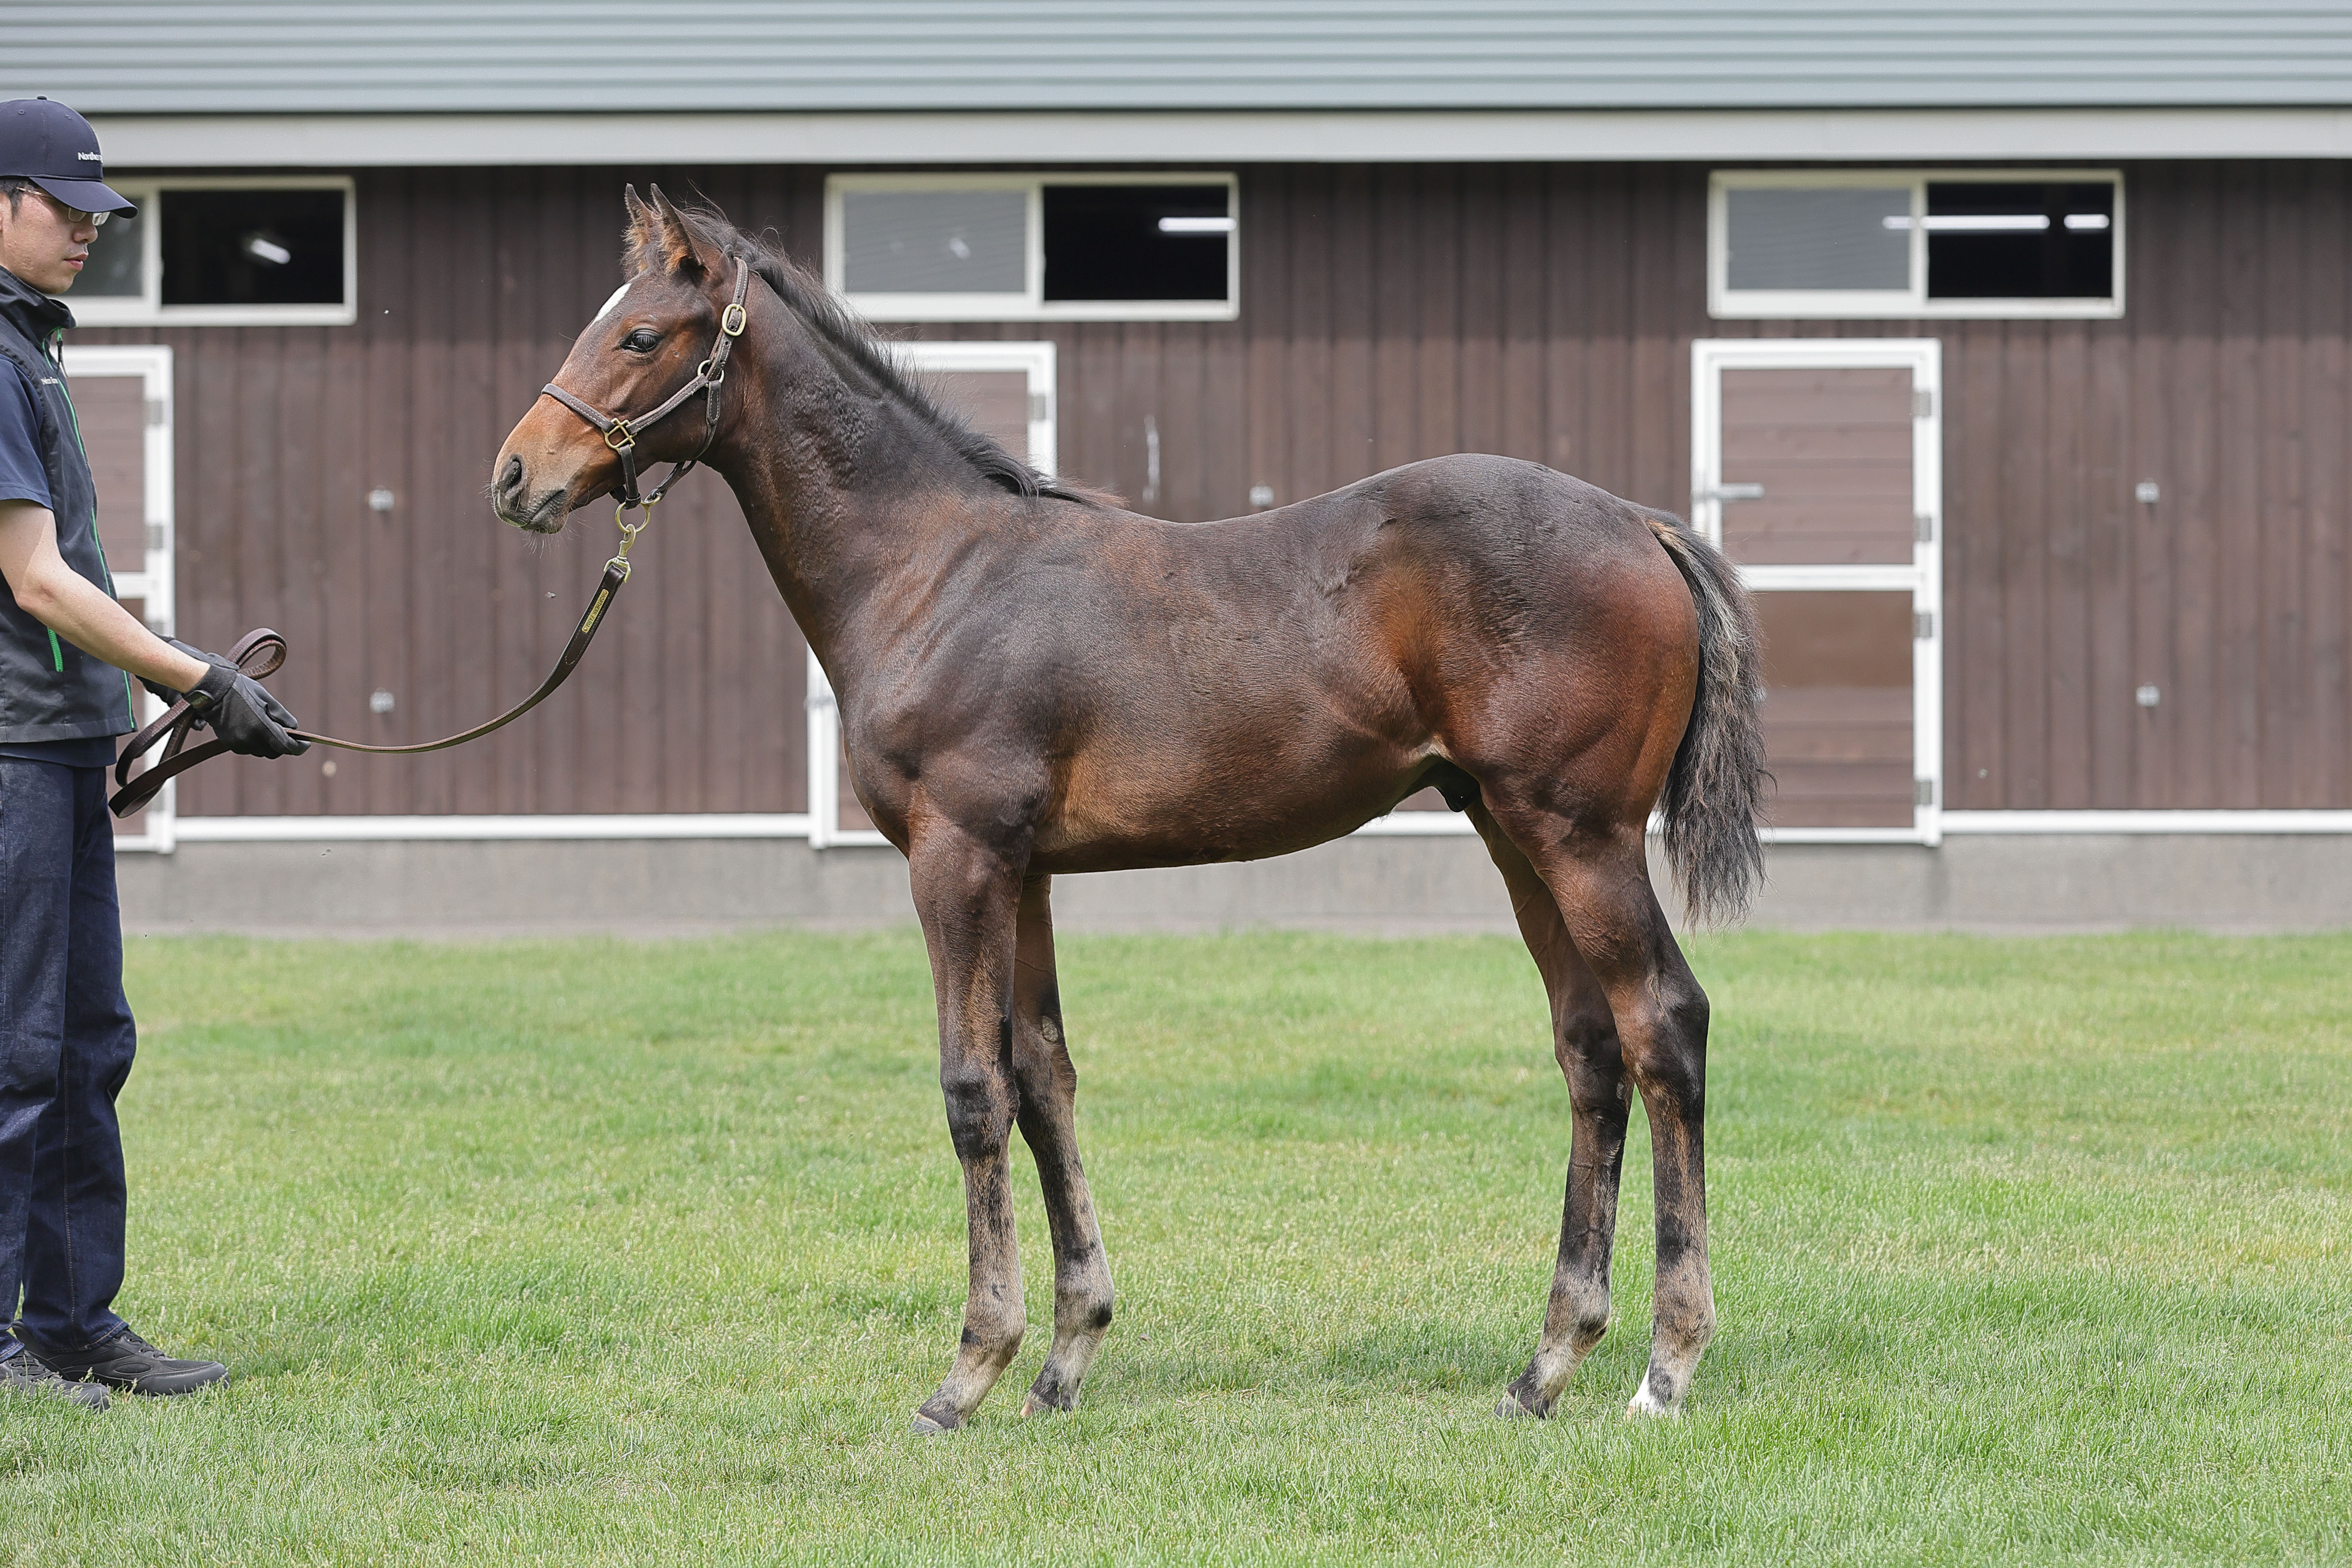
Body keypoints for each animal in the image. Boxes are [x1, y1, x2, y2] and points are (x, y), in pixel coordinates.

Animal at [491, 187, 1768, 1430]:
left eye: (638, 336)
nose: (515, 476)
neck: (932, 573)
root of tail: (1639, 523)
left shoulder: (954, 858)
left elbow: (973, 1089)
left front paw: (970, 1369)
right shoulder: (1025, 872)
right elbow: (1043, 1078)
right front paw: (1064, 1358)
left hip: (1579, 836)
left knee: (1664, 1023)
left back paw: (1666, 1366)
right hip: (1510, 832)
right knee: (1590, 1048)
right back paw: (1544, 1364)